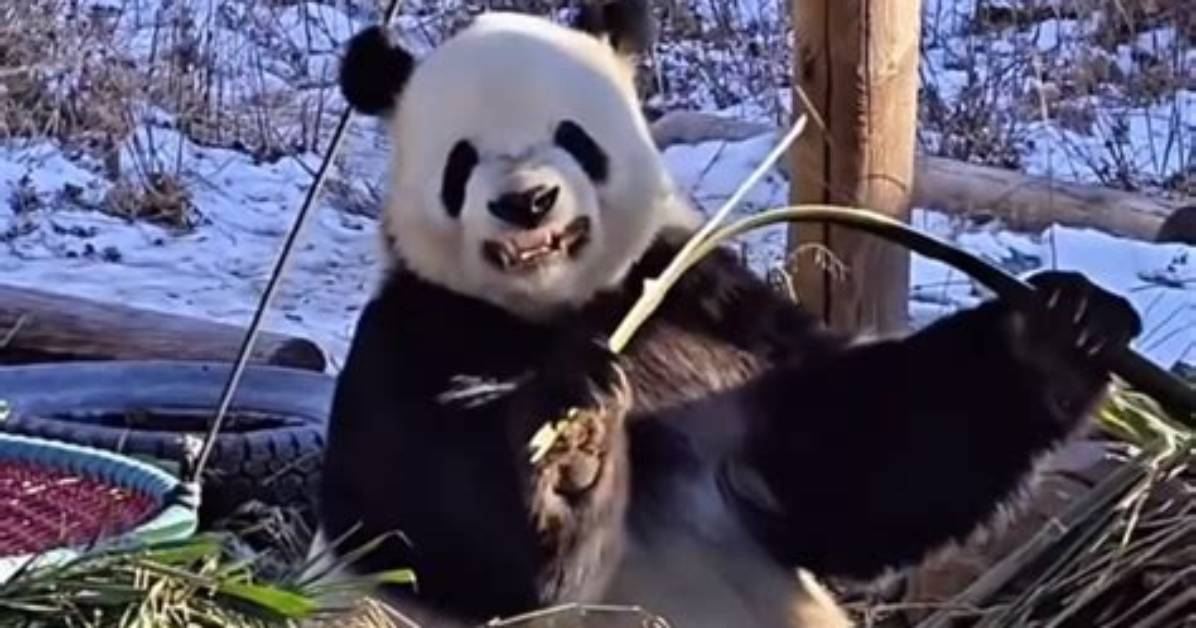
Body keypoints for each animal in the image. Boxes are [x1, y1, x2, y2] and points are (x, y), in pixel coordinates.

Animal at [315, 2, 1144, 626]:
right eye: (463, 159)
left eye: (572, 137)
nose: (527, 202)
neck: (564, 309)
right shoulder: (416, 334)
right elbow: (429, 537)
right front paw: (570, 445)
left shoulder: (708, 312)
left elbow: (856, 467)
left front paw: (1058, 333)